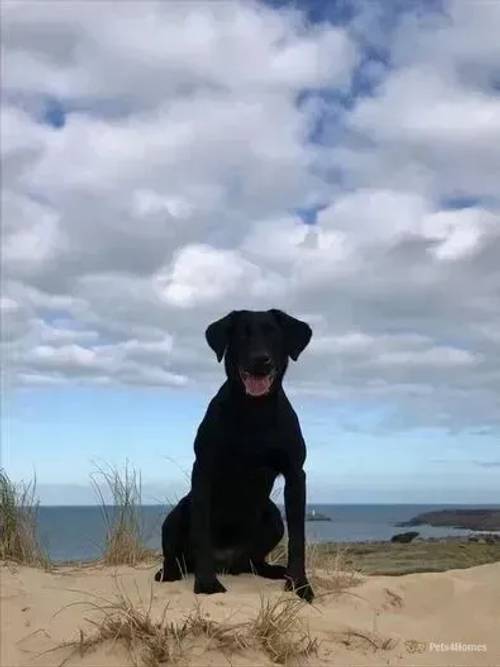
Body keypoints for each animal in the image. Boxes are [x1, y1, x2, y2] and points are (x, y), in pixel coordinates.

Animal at [154, 310, 314, 604]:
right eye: (241, 335)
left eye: (273, 333)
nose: (260, 359)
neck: (254, 412)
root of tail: (227, 563)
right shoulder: (203, 471)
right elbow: (201, 534)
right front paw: (206, 583)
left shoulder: (296, 474)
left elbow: (298, 538)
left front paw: (299, 584)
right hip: (177, 514)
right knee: (174, 557)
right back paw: (169, 573)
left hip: (273, 518)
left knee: (253, 561)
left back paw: (273, 570)